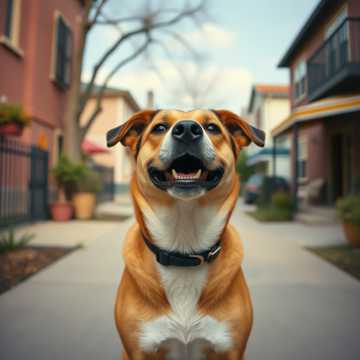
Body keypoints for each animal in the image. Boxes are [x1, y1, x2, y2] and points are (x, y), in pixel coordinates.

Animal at [107, 109, 264, 360]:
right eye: (160, 128)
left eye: (212, 128)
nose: (188, 130)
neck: (184, 248)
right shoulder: (138, 350)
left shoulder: (231, 349)